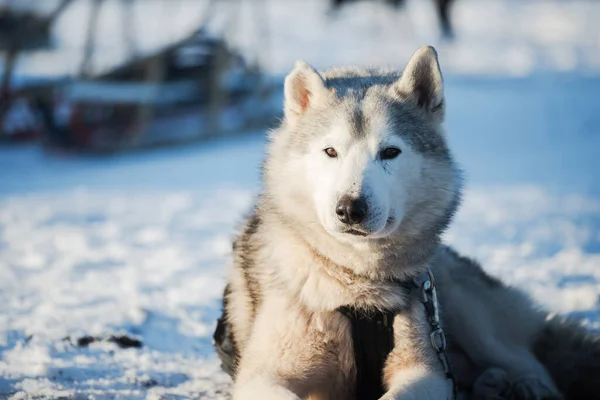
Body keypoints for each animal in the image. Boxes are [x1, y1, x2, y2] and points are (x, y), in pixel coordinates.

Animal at [214, 45, 600, 398]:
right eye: (330, 152)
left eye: (389, 152)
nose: (350, 208)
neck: (357, 286)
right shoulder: (264, 376)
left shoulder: (425, 371)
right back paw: (491, 384)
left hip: (466, 315)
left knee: (527, 359)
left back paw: (527, 385)